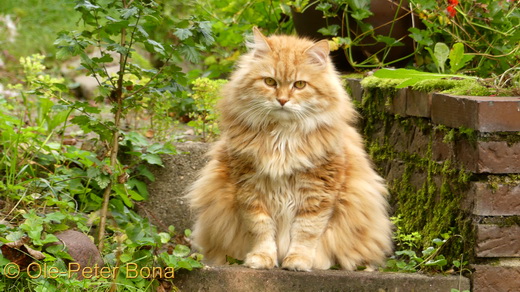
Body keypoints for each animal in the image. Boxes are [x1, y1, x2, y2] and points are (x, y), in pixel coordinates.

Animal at [185, 27, 392, 272]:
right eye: (270, 82)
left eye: (300, 85)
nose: (282, 100)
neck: (282, 138)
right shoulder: (249, 188)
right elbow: (261, 229)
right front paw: (261, 259)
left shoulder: (318, 191)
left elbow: (306, 232)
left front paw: (298, 261)